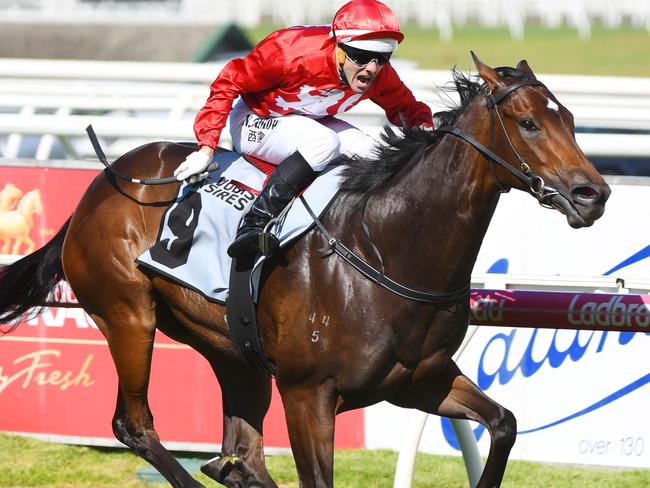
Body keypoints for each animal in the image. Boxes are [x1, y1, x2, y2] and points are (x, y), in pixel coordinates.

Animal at [0, 55, 608, 486]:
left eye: (572, 119)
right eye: (528, 123)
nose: (593, 194)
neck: (384, 246)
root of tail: (103, 182)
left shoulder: (420, 380)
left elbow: (504, 424)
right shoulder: (308, 395)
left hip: (232, 350)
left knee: (239, 459)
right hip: (128, 315)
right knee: (136, 424)